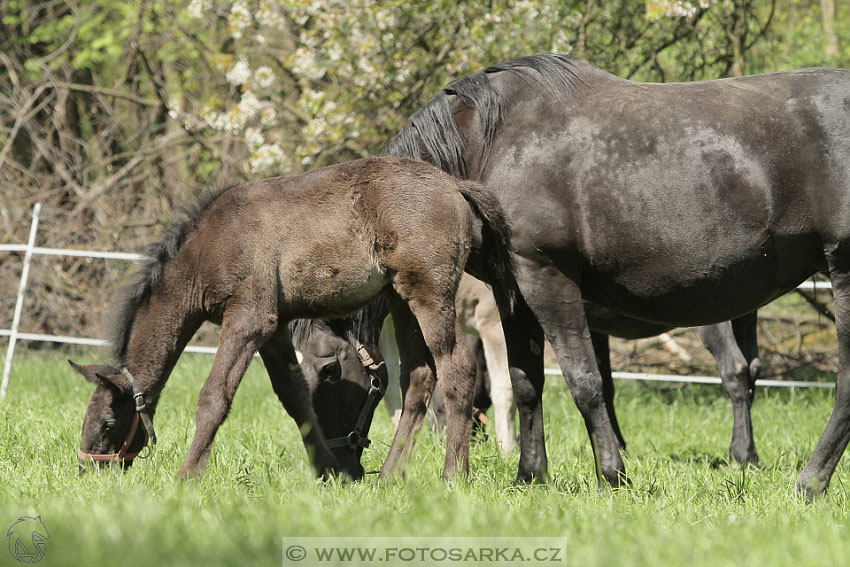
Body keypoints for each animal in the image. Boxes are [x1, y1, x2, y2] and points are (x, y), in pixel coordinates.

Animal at [382, 53, 848, 496]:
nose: (375, 473)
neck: (490, 142)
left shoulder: (547, 279)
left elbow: (585, 383)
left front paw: (613, 475)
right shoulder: (512, 289)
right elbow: (527, 382)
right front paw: (530, 476)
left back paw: (808, 482)